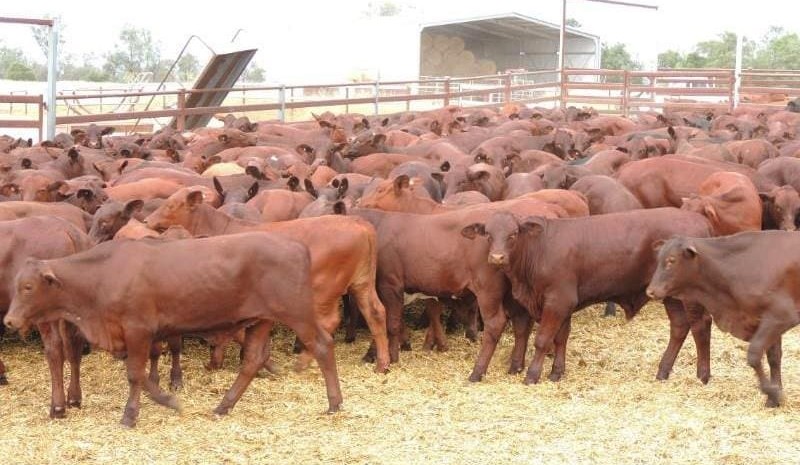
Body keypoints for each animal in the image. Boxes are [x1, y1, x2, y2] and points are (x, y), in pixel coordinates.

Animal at [4, 232, 343, 427]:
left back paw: (335, 403)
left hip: (297, 312)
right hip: (261, 319)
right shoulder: (131, 336)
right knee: (252, 360)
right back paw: (223, 406)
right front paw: (167, 399)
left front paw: (131, 414)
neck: (103, 276)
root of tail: (296, 244)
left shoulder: (138, 329)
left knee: (323, 345)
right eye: (16, 284)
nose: (9, 320)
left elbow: (135, 374)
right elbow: (141, 374)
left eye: (28, 286)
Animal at [647, 232, 800, 407]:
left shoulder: (781, 316)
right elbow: (773, 357)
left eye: (671, 260)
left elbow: (755, 356)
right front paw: (774, 395)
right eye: (658, 259)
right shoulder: (766, 321)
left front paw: (771, 392)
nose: (650, 291)